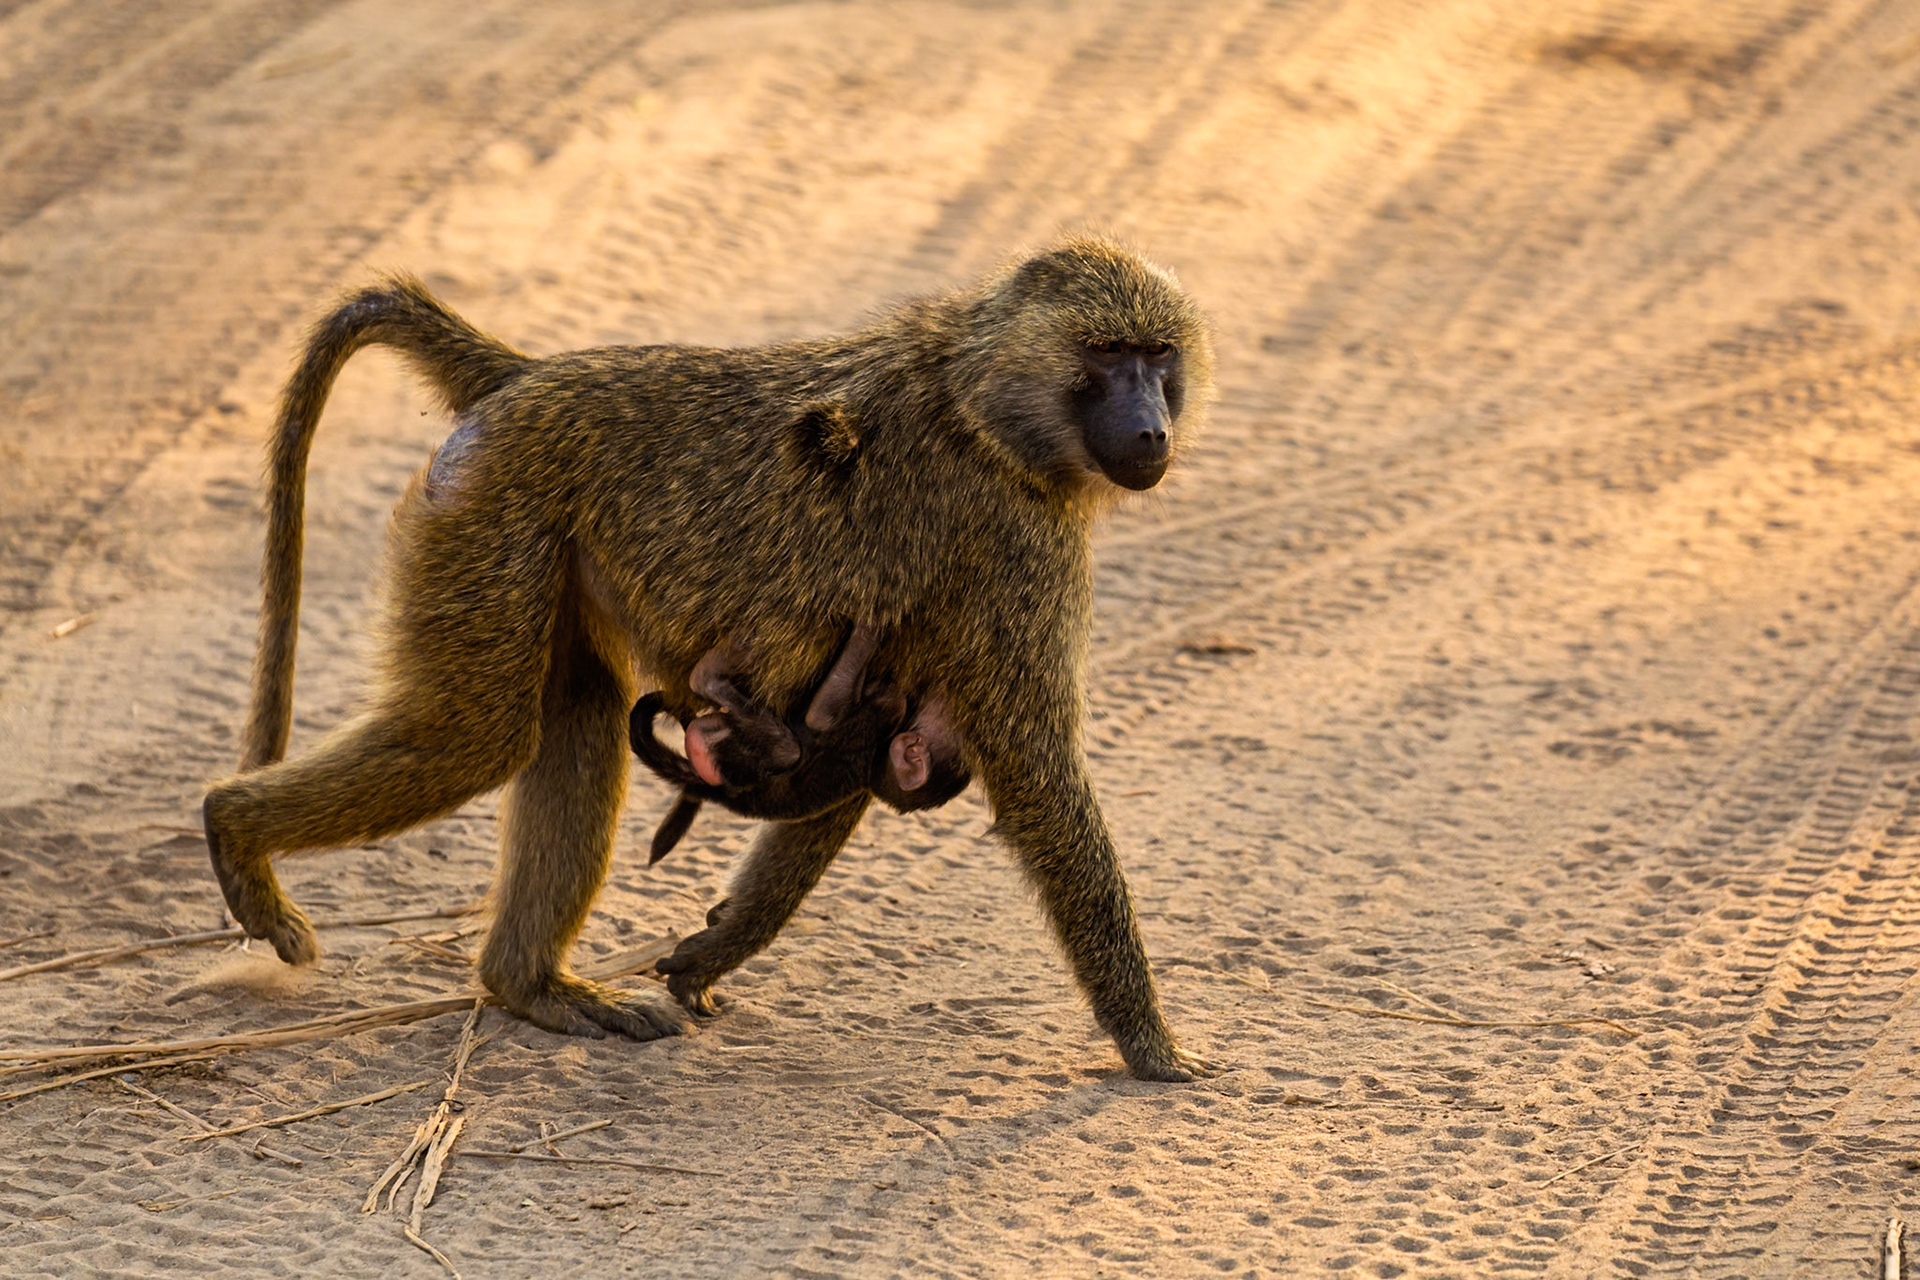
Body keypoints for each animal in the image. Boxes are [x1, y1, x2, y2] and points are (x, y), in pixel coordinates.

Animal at [631, 624, 972, 865]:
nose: (947, 700)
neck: (879, 764)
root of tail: (721, 790)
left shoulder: (886, 712)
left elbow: (821, 716)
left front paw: (869, 629)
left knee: (785, 748)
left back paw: (708, 677)